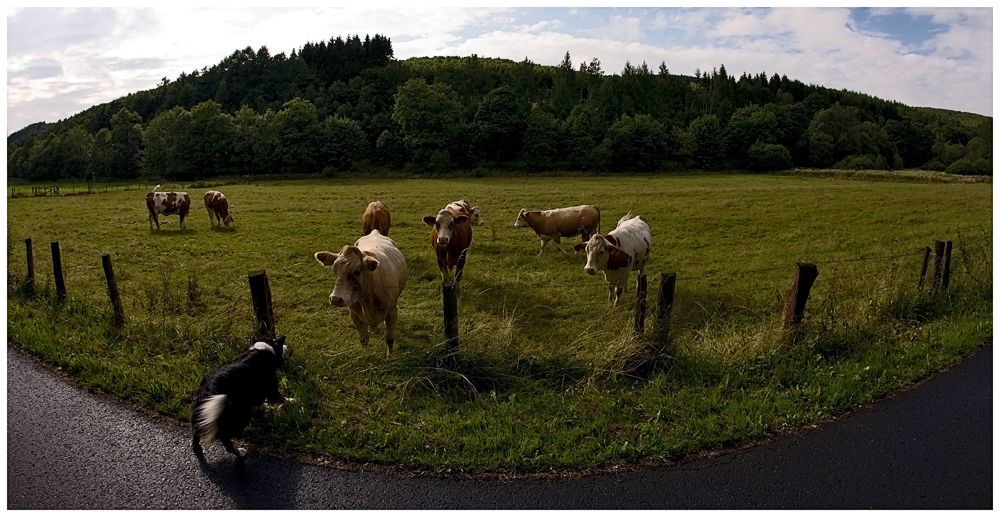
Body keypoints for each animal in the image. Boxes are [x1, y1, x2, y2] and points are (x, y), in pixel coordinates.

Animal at [192, 334, 292, 464]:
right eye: (281, 345)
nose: (287, 346)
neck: (265, 349)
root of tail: (211, 390)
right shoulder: (271, 386)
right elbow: (281, 398)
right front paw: (292, 401)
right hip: (239, 412)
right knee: (225, 437)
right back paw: (240, 453)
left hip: (203, 411)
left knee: (197, 431)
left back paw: (197, 447)